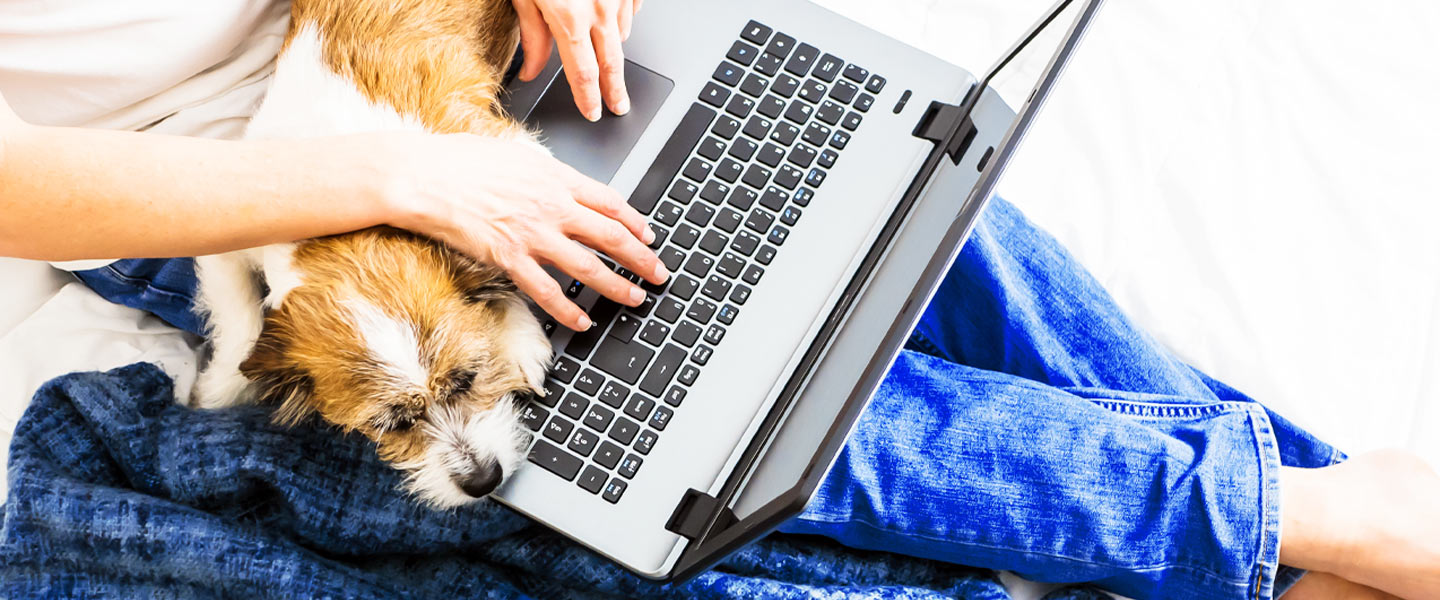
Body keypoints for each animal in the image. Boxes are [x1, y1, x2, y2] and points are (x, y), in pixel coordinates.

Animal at [191, 0, 550, 506]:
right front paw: (222, 387)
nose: (484, 481)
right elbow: (241, 323)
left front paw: (515, 337)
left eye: (467, 379)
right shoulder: (226, 239)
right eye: (393, 424)